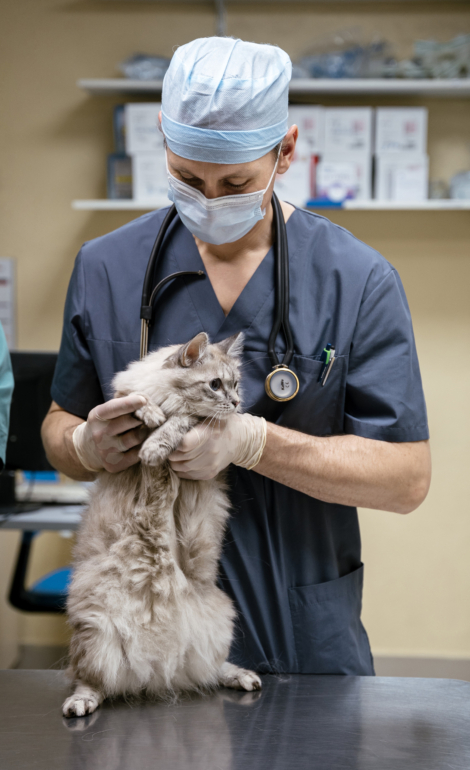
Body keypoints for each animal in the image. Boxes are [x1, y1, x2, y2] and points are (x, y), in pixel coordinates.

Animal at [62, 328, 260, 712]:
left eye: (235, 384)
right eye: (215, 384)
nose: (235, 403)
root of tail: (154, 675)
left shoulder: (194, 425)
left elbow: (180, 422)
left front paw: (155, 446)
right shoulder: (121, 399)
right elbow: (137, 399)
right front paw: (152, 417)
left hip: (219, 623)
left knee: (213, 668)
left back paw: (243, 677)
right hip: (95, 634)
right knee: (90, 681)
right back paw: (81, 703)